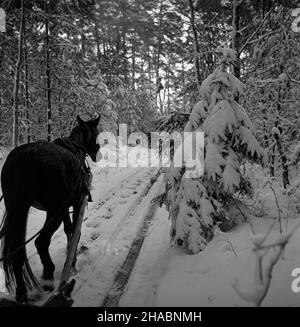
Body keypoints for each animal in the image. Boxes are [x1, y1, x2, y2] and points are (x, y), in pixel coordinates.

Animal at [0, 116, 101, 304]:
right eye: (96, 132)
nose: (97, 152)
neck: (76, 146)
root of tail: (28, 155)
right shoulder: (75, 204)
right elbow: (75, 232)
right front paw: (72, 261)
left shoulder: (64, 207)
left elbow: (68, 229)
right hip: (54, 211)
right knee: (41, 241)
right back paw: (48, 274)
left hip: (18, 208)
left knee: (17, 251)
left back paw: (22, 292)